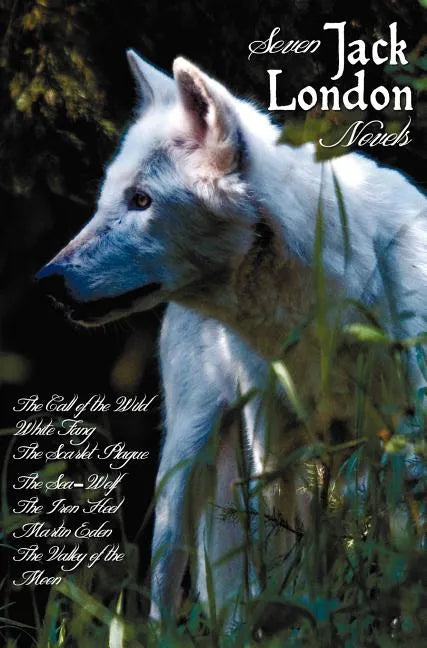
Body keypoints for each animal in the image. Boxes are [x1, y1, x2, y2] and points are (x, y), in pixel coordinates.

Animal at [37, 51, 427, 626]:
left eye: (141, 200)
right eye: (108, 199)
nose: (47, 282)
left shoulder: (398, 436)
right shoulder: (272, 445)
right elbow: (272, 559)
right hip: (186, 460)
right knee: (171, 585)